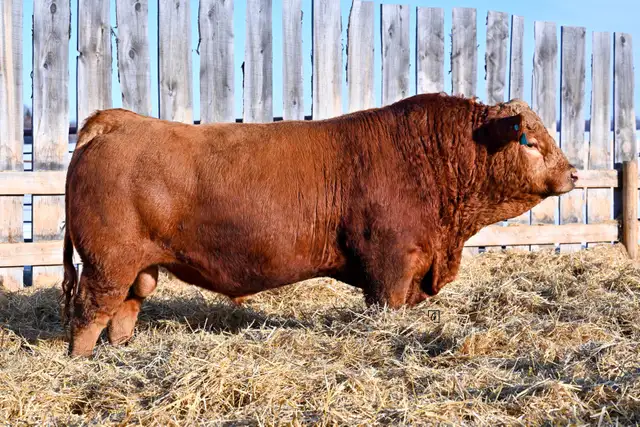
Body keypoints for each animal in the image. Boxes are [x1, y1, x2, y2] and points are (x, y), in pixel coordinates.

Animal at [61, 93, 577, 356]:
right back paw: (81, 362)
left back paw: (122, 355)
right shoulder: (391, 267)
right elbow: (387, 308)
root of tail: (116, 120)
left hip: (138, 267)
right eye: (530, 141)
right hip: (107, 263)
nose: (573, 173)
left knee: (125, 310)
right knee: (90, 312)